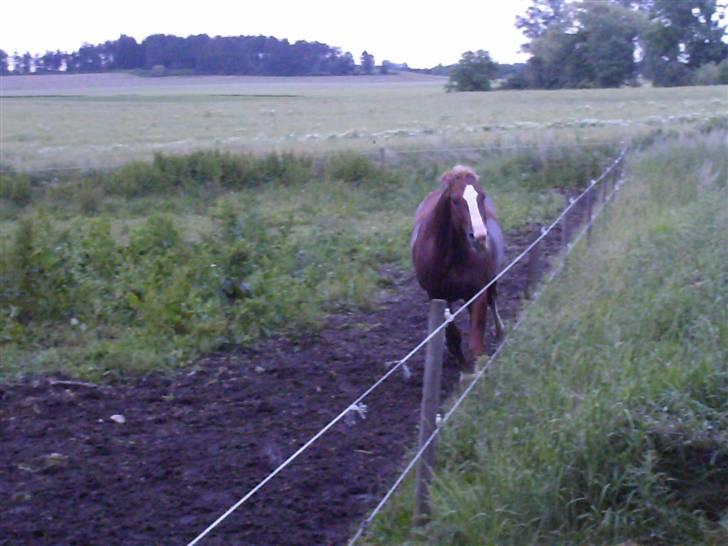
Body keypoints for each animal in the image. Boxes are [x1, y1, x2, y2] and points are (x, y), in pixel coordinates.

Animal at [410, 164, 506, 372]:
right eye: (455, 200)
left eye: (482, 196)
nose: (480, 237)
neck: (450, 258)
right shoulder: (437, 296)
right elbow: (453, 335)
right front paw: (464, 368)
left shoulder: (478, 290)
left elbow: (477, 337)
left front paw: (476, 369)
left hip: (490, 281)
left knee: (492, 301)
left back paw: (500, 333)